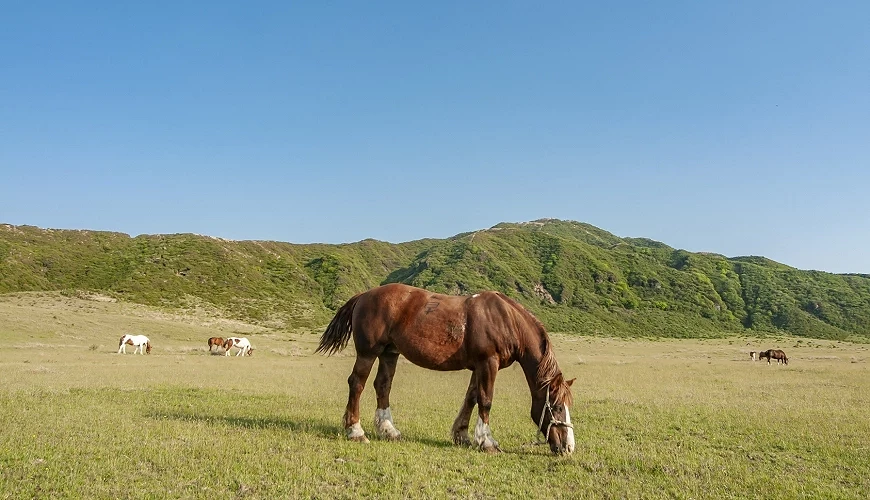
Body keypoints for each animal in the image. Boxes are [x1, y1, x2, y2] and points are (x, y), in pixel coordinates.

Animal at [316, 283, 576, 455]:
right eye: (556, 407)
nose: (568, 447)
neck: (505, 320)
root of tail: (364, 295)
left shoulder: (478, 366)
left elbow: (471, 398)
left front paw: (462, 435)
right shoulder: (488, 363)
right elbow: (486, 400)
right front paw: (487, 442)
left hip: (389, 353)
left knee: (382, 386)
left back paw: (389, 430)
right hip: (368, 353)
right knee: (357, 384)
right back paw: (356, 431)